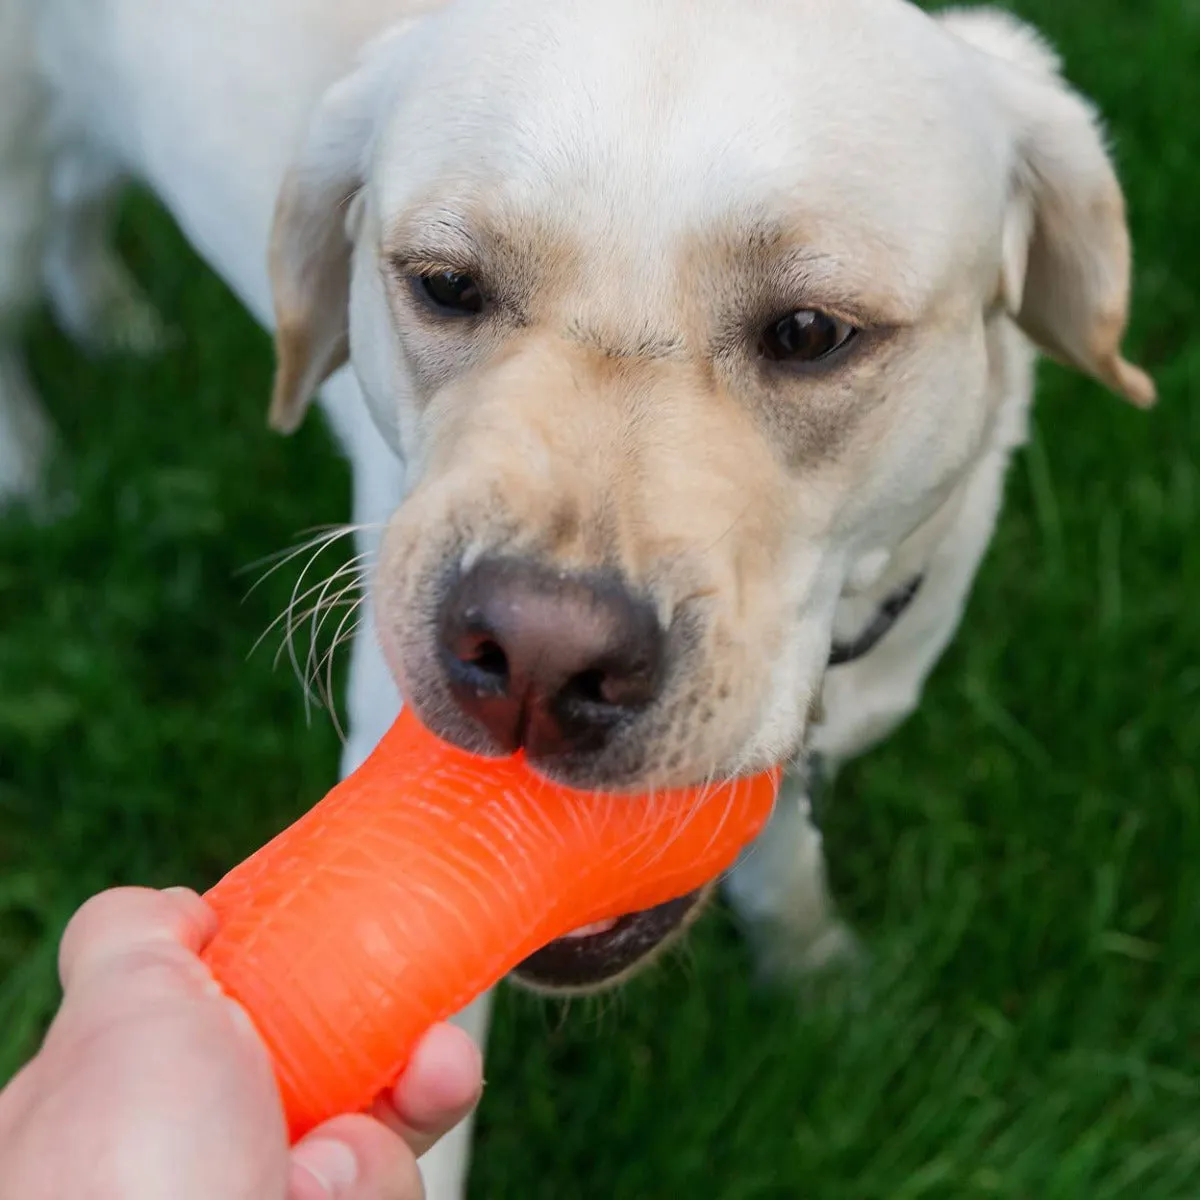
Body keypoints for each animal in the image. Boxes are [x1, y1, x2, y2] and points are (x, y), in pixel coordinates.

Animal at [4, 0, 1156, 1190]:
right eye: (446, 284)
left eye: (811, 331)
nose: (538, 657)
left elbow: (783, 862)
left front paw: (821, 980)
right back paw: (34, 465)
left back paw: (111, 317)